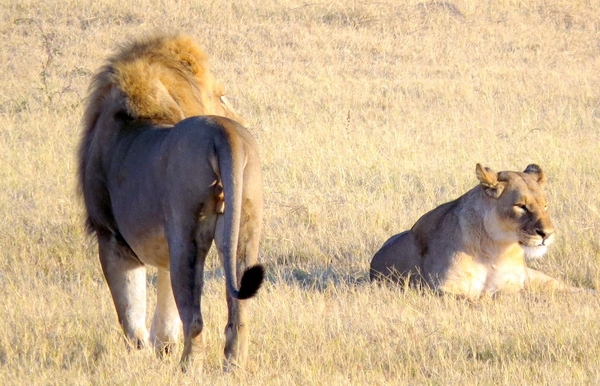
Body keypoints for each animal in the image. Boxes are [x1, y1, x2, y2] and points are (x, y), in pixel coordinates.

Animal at [78, 34, 262, 372]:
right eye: (221, 95)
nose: (240, 115)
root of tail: (222, 132)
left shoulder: (111, 238)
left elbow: (130, 313)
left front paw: (141, 358)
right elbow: (162, 305)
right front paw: (161, 348)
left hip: (186, 237)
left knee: (195, 319)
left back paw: (189, 368)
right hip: (245, 226)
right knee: (238, 315)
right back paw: (233, 367)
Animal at [370, 164, 572, 298]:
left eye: (545, 206)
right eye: (521, 206)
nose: (547, 234)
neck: (496, 249)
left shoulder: (512, 285)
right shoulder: (441, 288)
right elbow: (477, 299)